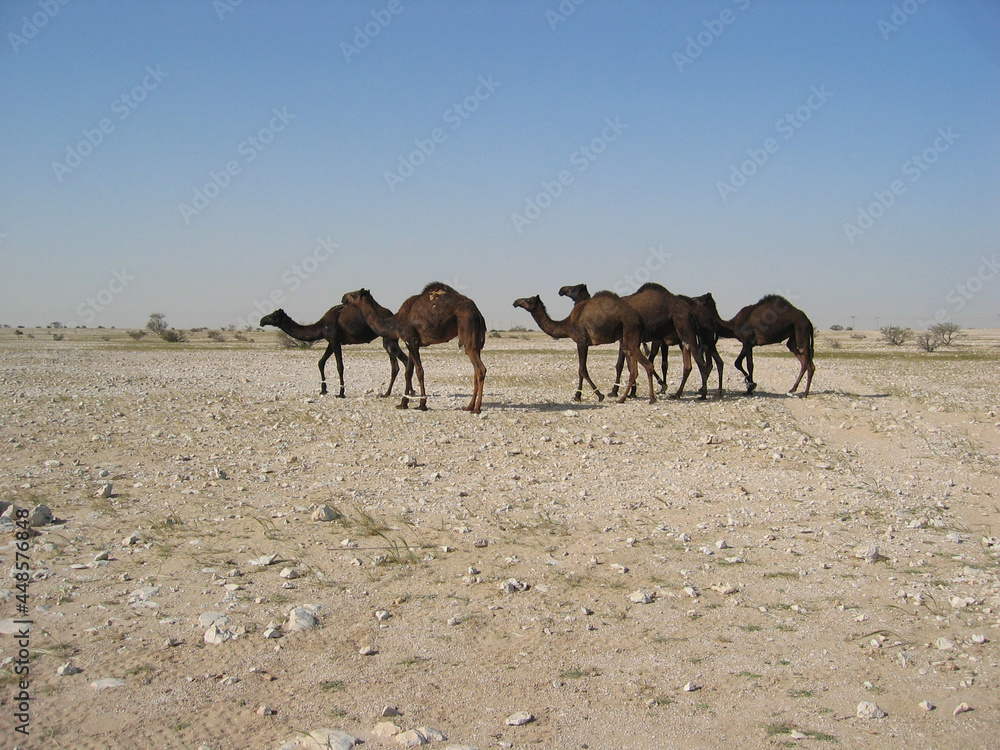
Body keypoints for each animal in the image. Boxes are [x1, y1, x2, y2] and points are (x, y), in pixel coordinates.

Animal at [264, 306, 412, 400]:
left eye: (273, 315)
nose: (262, 320)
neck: (322, 325)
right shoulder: (331, 341)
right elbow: (321, 362)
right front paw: (323, 390)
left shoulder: (335, 340)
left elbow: (339, 366)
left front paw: (341, 393)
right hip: (388, 340)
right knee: (400, 364)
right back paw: (402, 392)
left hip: (389, 340)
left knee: (400, 363)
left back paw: (399, 392)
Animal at [340, 282, 488, 414]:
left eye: (353, 294)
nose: (343, 297)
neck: (396, 323)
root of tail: (478, 313)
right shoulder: (410, 342)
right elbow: (408, 372)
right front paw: (403, 403)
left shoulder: (411, 340)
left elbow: (419, 371)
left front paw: (422, 404)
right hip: (476, 343)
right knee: (476, 371)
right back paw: (469, 406)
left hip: (467, 329)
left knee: (480, 369)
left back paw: (476, 409)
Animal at [516, 290, 656, 406]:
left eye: (529, 300)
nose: (515, 302)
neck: (568, 324)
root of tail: (639, 319)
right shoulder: (584, 343)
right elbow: (581, 370)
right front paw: (578, 396)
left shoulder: (581, 340)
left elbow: (582, 369)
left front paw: (597, 395)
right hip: (630, 339)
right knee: (634, 370)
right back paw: (623, 398)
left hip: (630, 332)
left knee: (647, 365)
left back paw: (651, 399)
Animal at [556, 282, 712, 400]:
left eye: (573, 288)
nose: (561, 290)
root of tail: (690, 311)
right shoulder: (627, 340)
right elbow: (630, 364)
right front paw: (635, 391)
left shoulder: (623, 339)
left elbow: (621, 364)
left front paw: (617, 391)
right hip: (680, 338)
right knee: (689, 365)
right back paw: (679, 393)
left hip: (684, 329)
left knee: (701, 362)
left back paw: (703, 394)